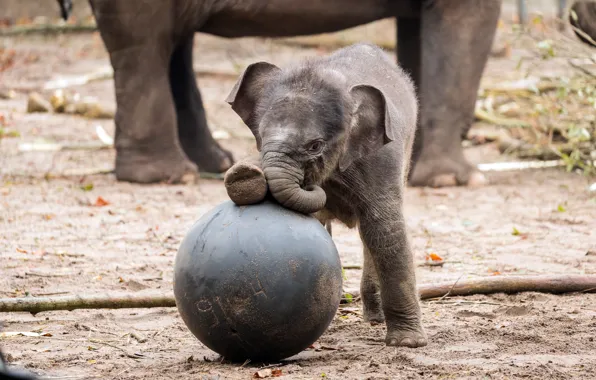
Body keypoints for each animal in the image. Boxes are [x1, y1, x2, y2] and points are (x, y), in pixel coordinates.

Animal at [222, 43, 424, 348]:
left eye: (315, 146)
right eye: (261, 134)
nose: (245, 170)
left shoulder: (382, 158)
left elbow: (384, 230)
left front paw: (407, 343)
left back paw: (375, 320)